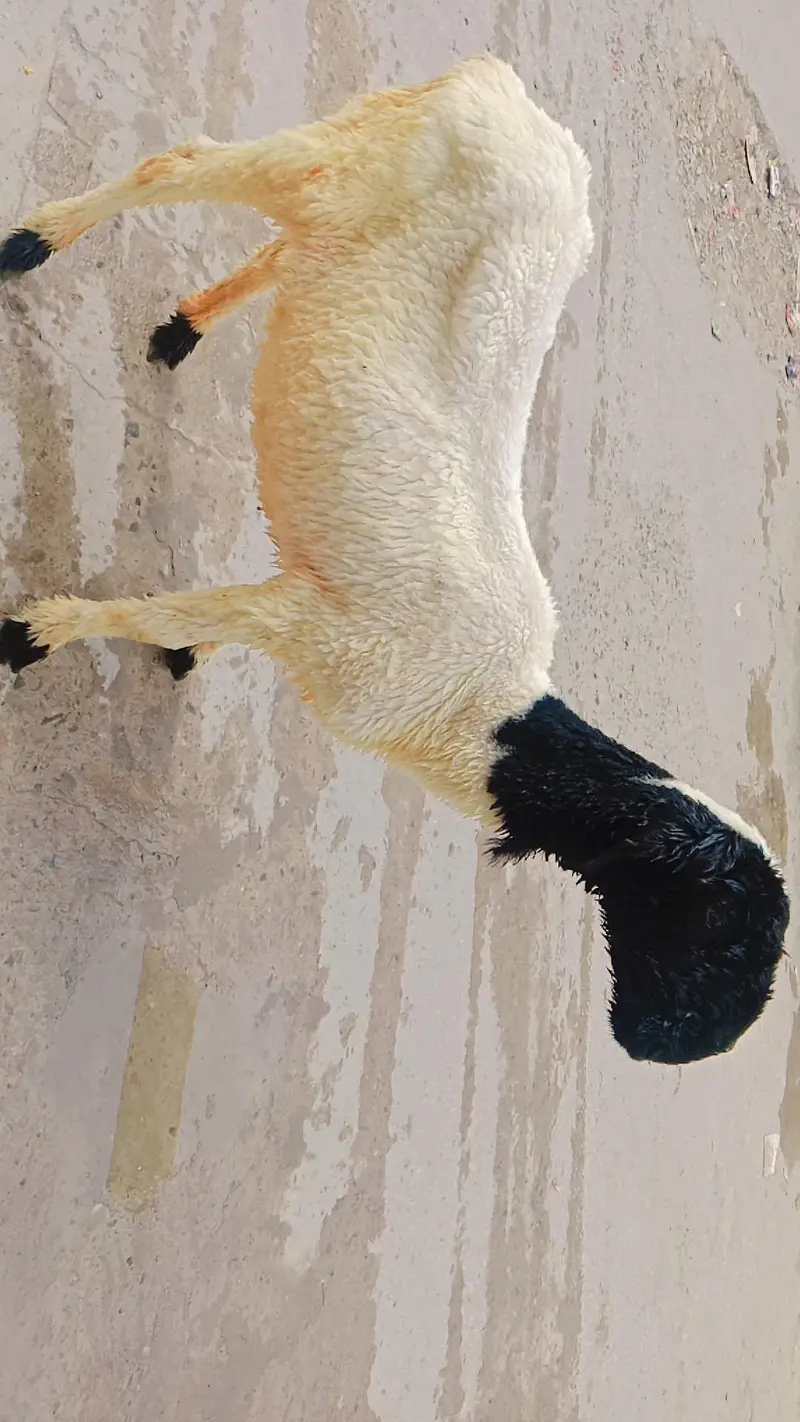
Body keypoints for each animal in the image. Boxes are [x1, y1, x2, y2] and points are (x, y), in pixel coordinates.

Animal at [0, 54, 789, 1065]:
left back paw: (182, 328)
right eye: (715, 923)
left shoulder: (304, 613)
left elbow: (205, 617)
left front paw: (176, 655)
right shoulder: (317, 625)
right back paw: (32, 243)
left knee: (282, 255)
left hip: (343, 198)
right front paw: (35, 635)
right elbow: (156, 611)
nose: (658, 1043)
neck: (484, 722)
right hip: (332, 166)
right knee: (179, 165)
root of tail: (504, 92)